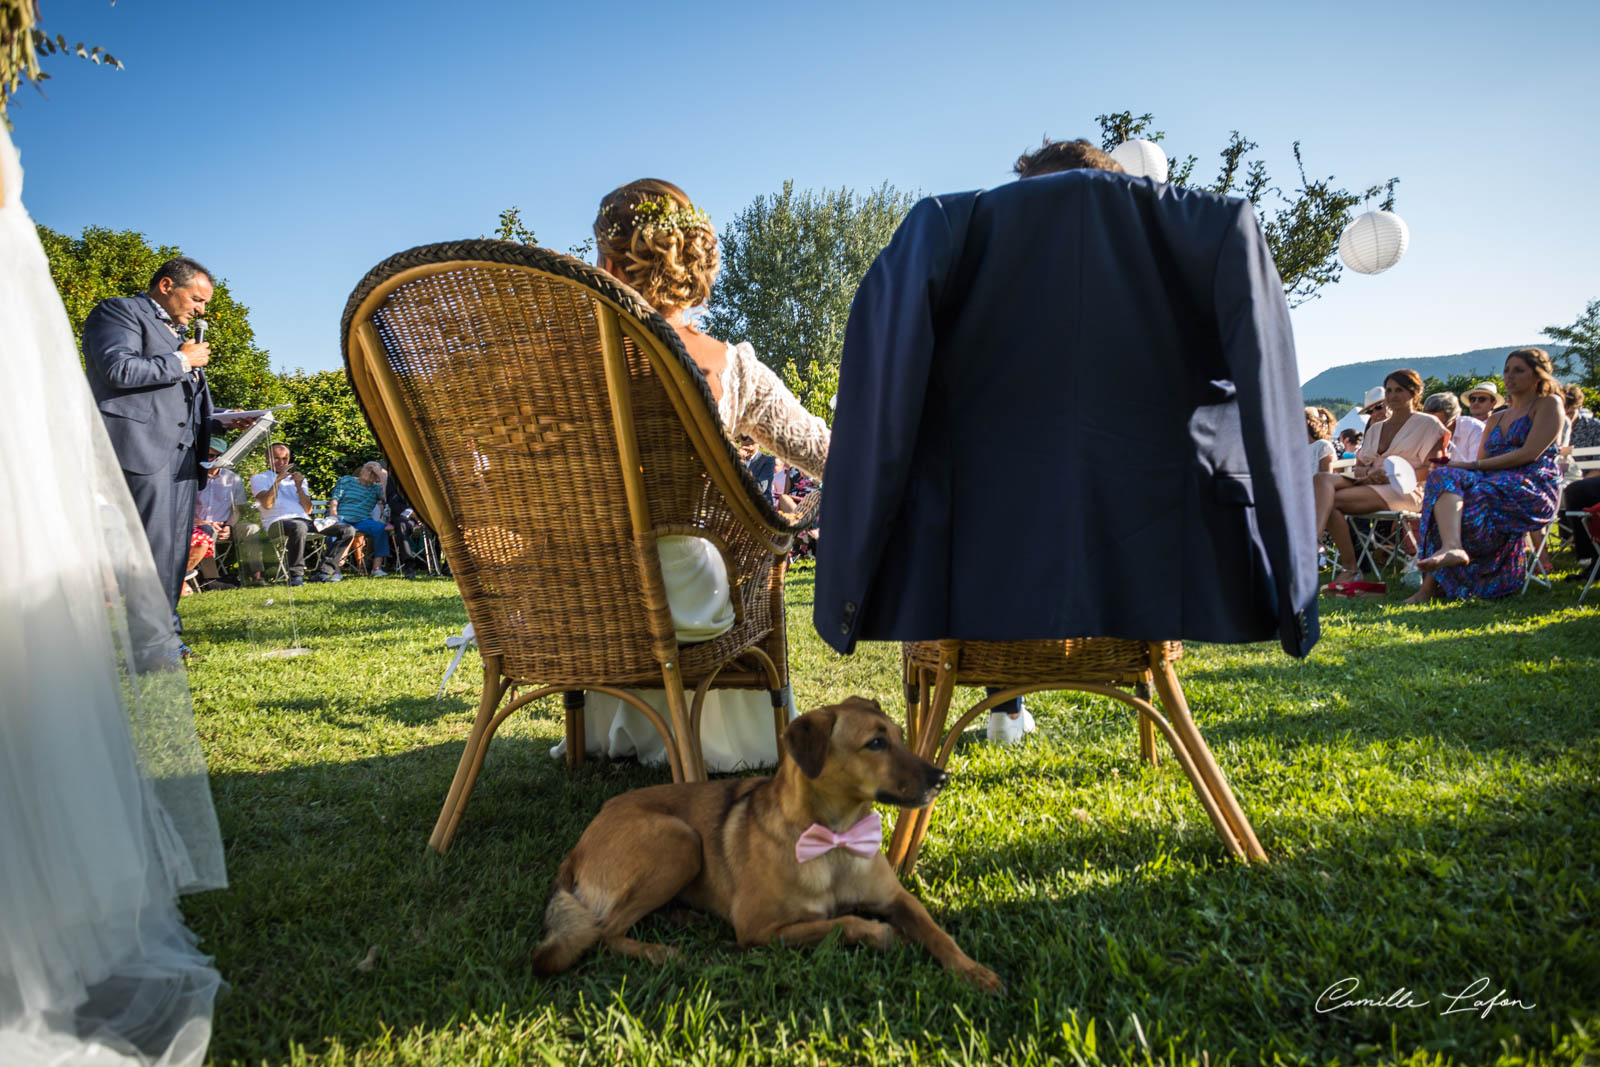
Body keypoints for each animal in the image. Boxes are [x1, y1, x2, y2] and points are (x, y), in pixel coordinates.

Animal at [534, 697, 998, 991]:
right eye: (876, 743)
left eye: (901, 736)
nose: (942, 778)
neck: (836, 837)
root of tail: (578, 845)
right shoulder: (759, 929)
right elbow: (843, 922)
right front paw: (884, 935)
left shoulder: (899, 899)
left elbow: (937, 932)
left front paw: (972, 970)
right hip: (680, 839)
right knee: (605, 932)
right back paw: (664, 953)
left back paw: (683, 917)